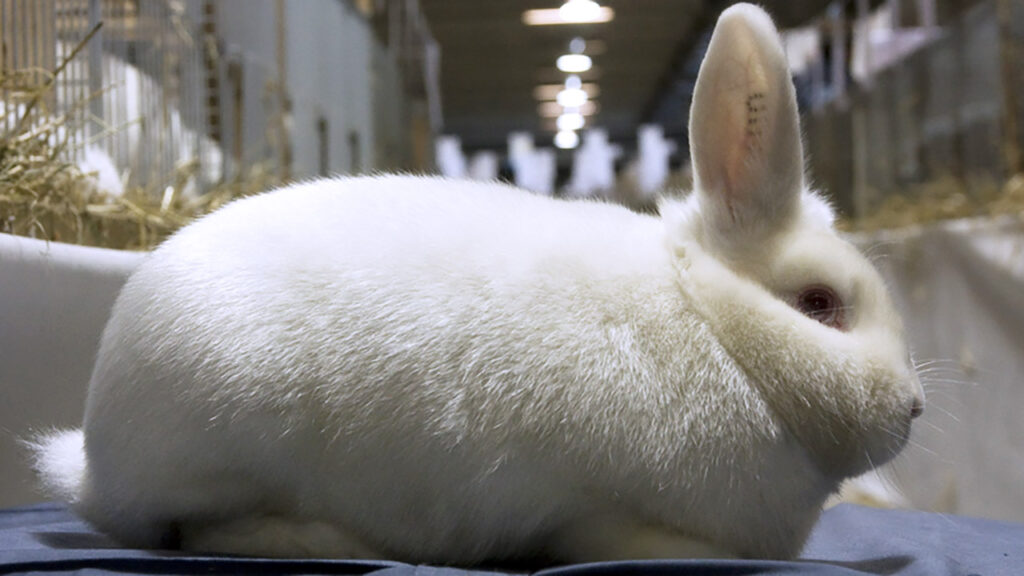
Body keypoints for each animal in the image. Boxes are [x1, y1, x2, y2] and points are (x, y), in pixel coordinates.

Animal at [31, 3, 924, 565]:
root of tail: (95, 459)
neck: (714, 324)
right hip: (227, 440)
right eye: (819, 304)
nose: (913, 408)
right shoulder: (607, 512)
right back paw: (327, 542)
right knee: (193, 531)